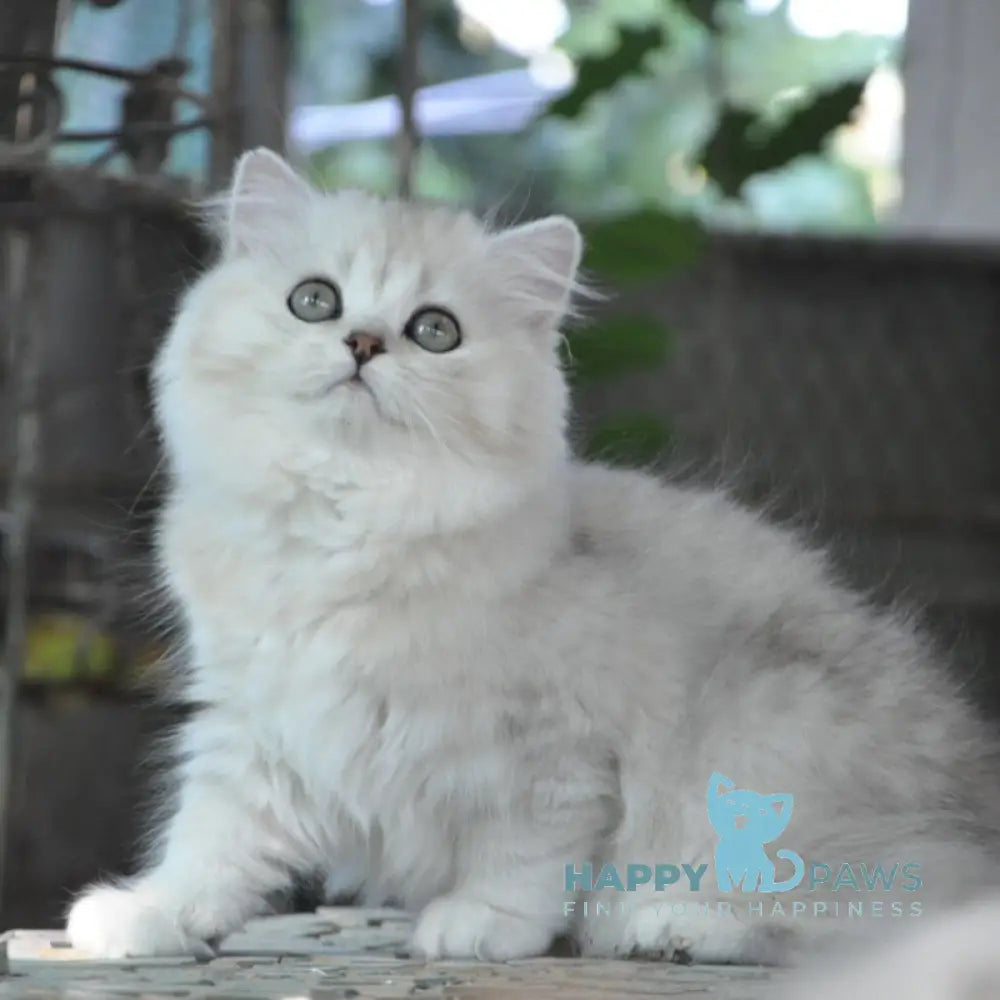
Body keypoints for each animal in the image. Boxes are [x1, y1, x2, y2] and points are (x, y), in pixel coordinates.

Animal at [64, 146, 1000, 960]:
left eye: (434, 330)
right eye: (315, 301)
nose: (363, 344)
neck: (347, 530)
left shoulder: (556, 746)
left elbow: (527, 852)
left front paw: (481, 923)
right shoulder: (257, 726)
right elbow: (212, 843)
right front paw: (149, 914)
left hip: (770, 737)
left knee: (864, 917)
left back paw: (672, 926)